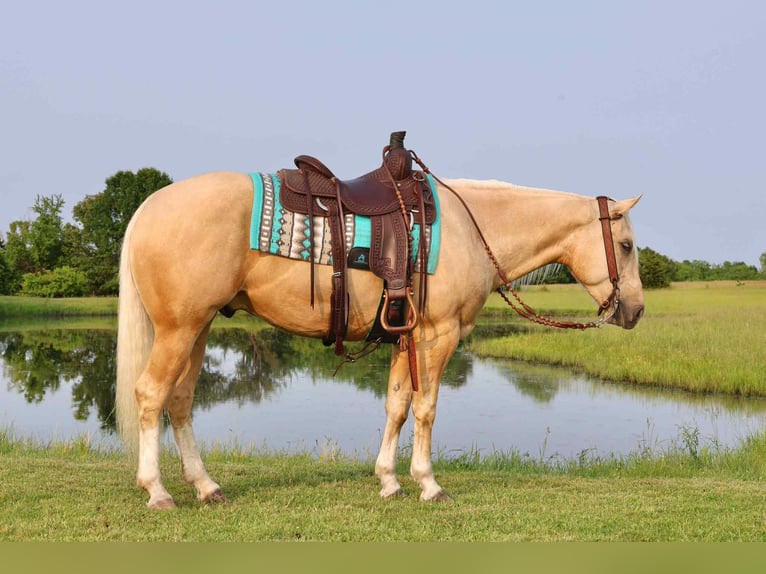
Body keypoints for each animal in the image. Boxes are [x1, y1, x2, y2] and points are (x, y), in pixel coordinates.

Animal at [115, 167, 644, 509]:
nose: (636, 310)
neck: (472, 229)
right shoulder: (438, 336)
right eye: (626, 245)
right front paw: (428, 484)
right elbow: (426, 408)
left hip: (198, 327)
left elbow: (396, 405)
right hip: (179, 329)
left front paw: (389, 481)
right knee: (151, 395)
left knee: (180, 400)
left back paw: (206, 487)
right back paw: (157, 491)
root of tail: (147, 207)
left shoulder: (406, 337)